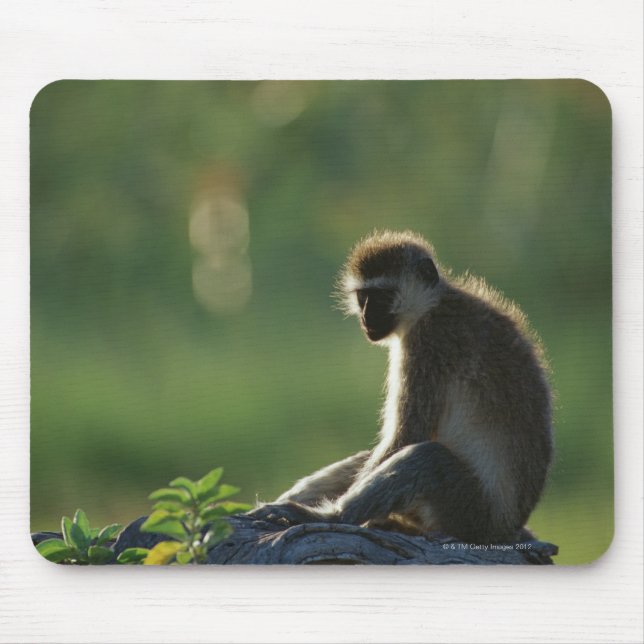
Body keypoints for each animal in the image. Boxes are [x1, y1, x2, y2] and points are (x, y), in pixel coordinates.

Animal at [247, 230, 553, 544]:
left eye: (382, 297)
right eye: (363, 297)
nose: (366, 317)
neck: (432, 305)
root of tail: (506, 527)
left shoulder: (429, 344)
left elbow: (407, 435)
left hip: (469, 513)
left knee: (426, 458)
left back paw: (331, 516)